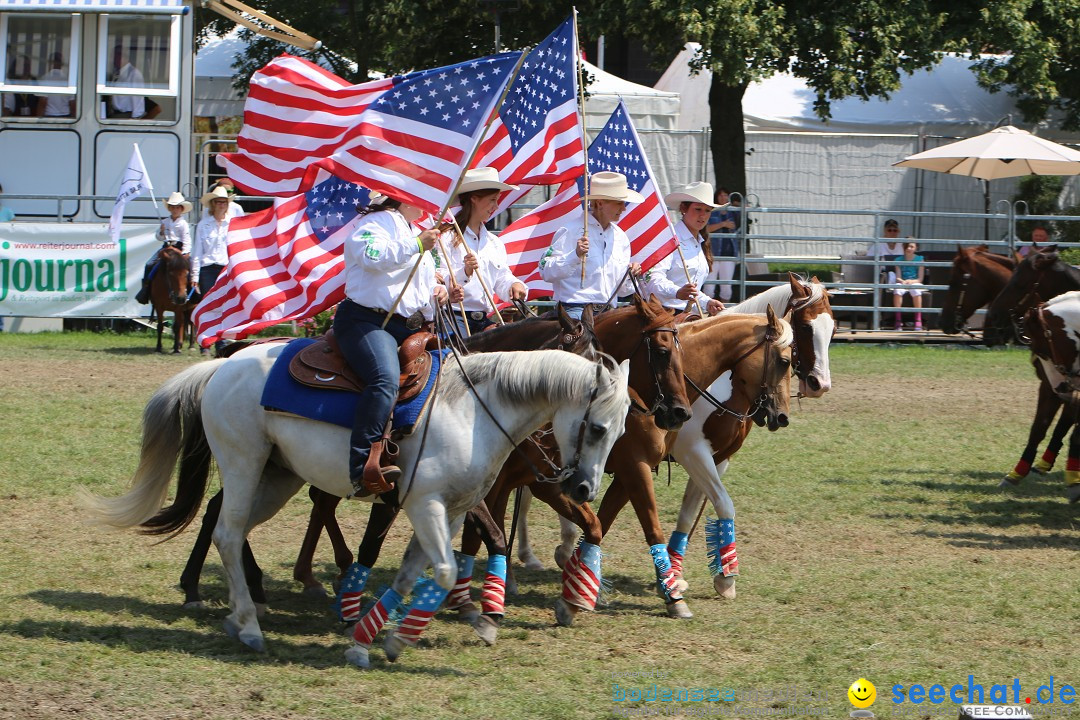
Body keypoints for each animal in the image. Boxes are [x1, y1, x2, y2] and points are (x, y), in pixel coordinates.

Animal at [84, 345, 630, 669]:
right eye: (596, 427)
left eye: (620, 430)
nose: (584, 489)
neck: (473, 410)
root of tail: (222, 365)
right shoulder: (425, 505)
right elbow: (444, 573)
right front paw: (399, 636)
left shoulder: (452, 509)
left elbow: (415, 574)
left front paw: (373, 638)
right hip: (243, 463)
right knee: (227, 531)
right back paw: (250, 625)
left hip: (276, 477)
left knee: (227, 531)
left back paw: (238, 616)